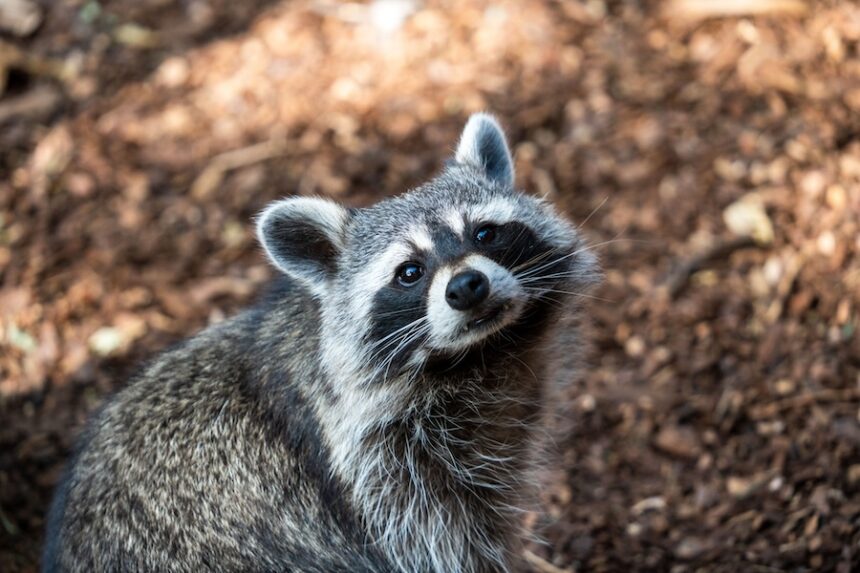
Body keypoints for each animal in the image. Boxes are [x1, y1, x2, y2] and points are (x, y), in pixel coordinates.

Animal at [43, 113, 599, 573]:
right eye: (409, 272)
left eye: (485, 234)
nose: (466, 287)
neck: (477, 359)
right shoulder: (380, 479)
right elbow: (447, 547)